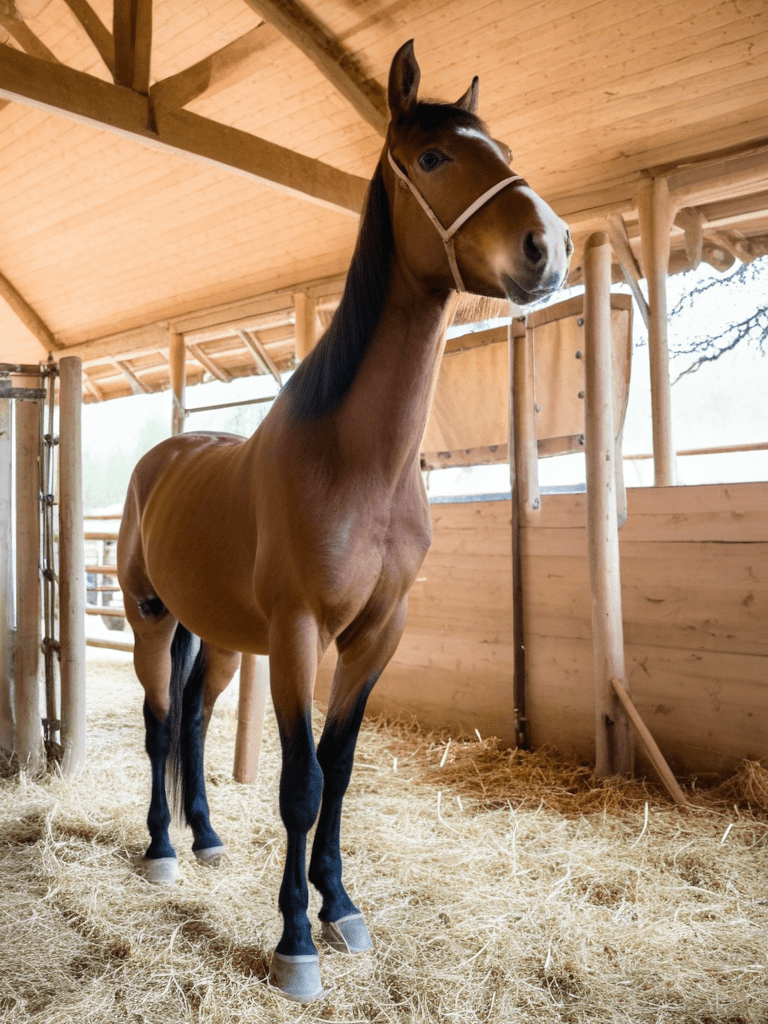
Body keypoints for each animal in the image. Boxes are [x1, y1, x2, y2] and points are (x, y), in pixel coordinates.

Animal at [117, 39, 571, 1004]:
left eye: (504, 147)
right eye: (432, 157)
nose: (547, 246)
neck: (362, 468)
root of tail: (164, 457)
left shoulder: (376, 636)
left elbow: (344, 767)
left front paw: (341, 905)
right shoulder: (299, 634)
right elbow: (302, 780)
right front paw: (296, 940)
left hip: (221, 639)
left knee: (196, 723)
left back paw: (206, 836)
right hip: (152, 620)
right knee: (161, 724)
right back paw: (164, 847)